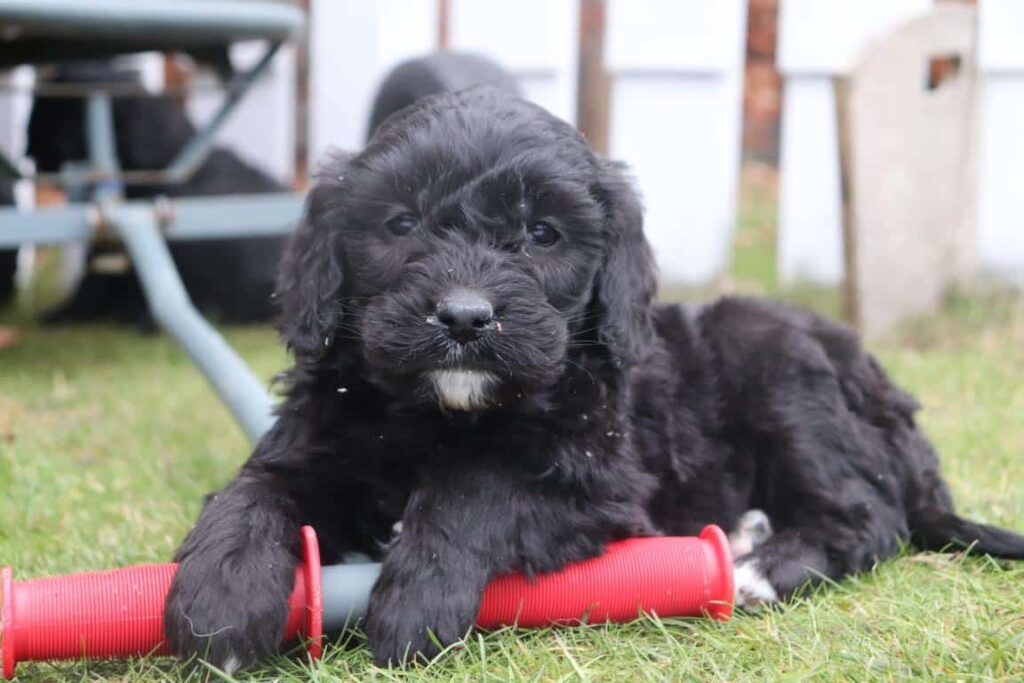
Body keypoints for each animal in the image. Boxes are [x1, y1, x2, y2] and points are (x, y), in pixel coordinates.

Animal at [163, 89, 1019, 671]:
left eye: (542, 234)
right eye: (400, 224)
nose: (465, 317)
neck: (439, 411)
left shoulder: (599, 477)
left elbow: (481, 484)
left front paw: (419, 598)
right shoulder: (312, 441)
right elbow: (253, 492)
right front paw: (217, 600)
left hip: (776, 359)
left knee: (867, 516)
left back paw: (754, 569)